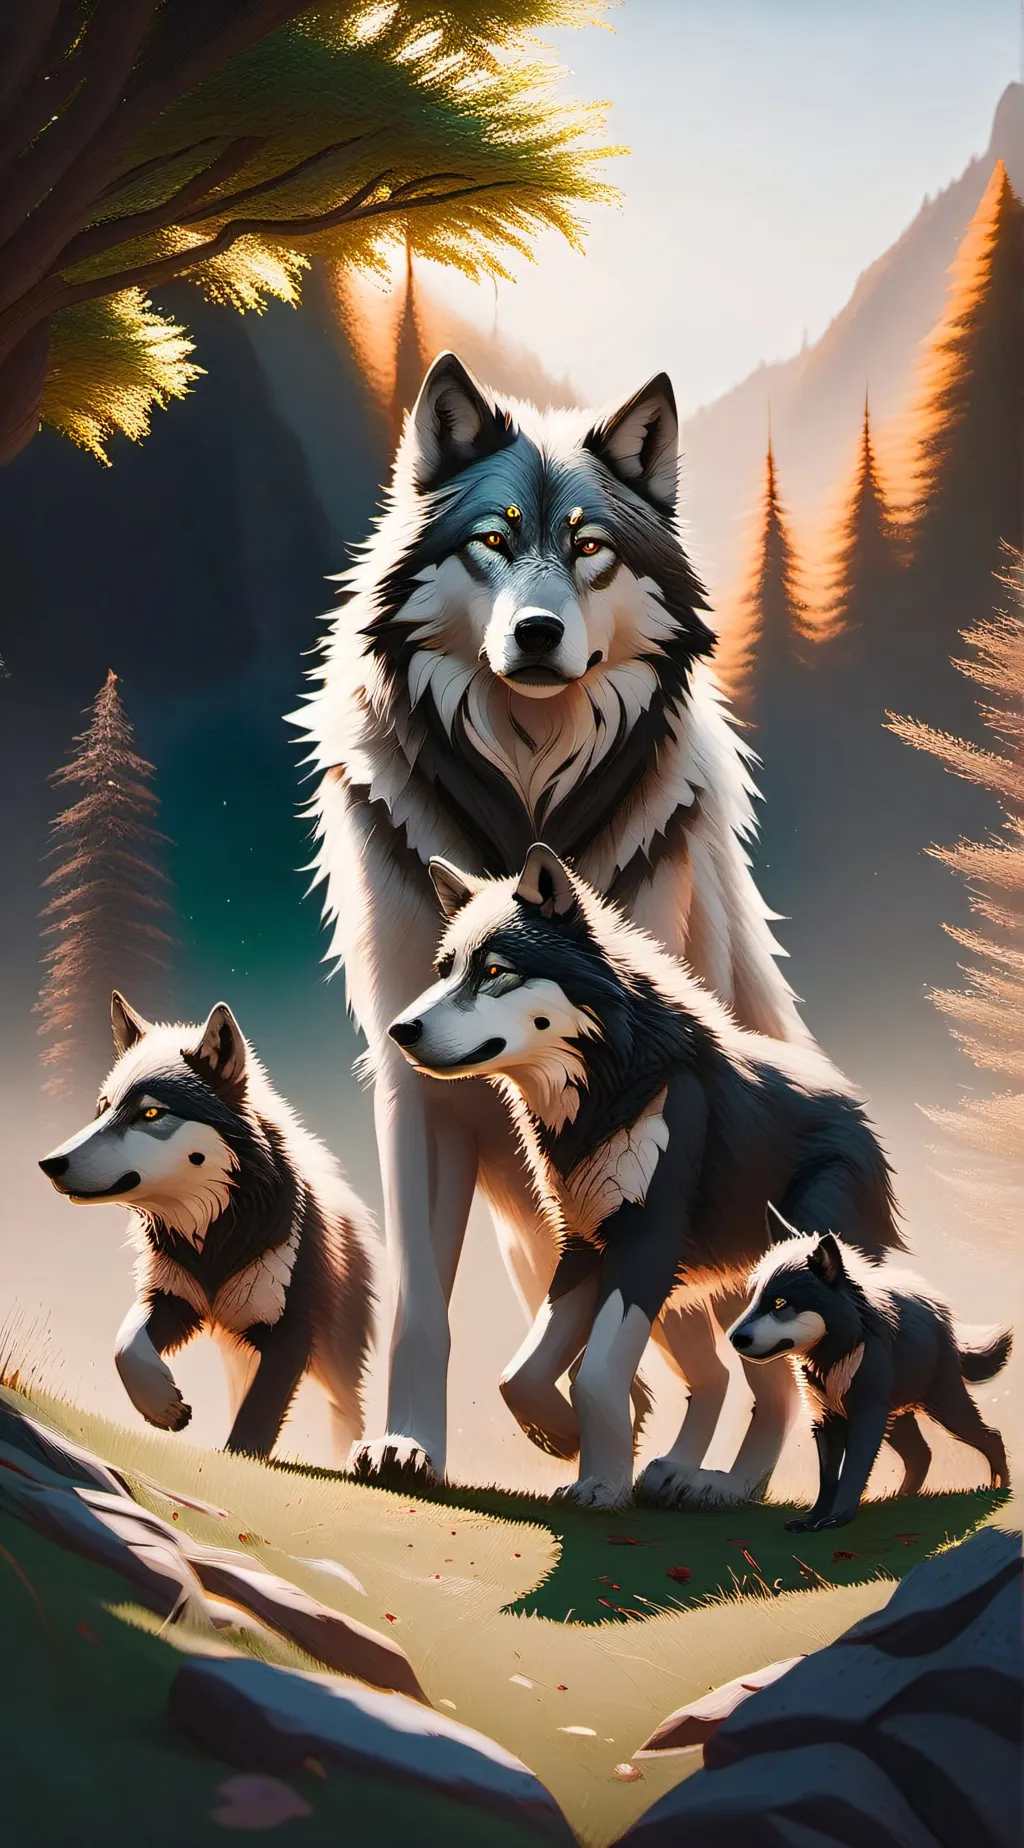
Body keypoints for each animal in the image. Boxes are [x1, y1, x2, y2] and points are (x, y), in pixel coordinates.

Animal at [39, 992, 375, 1460]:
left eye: (150, 1112)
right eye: (101, 1110)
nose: (49, 1163)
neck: (216, 1236)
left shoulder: (290, 1335)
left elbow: (255, 1423)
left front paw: (237, 1460)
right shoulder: (173, 1299)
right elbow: (125, 1346)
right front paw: (163, 1407)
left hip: (335, 1363)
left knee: (349, 1412)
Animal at [294, 350, 810, 1493]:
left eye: (589, 549)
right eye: (493, 540)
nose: (537, 633)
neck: (528, 794)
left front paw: (585, 1437)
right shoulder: (416, 1088)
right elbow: (428, 1307)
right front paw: (409, 1442)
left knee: (757, 1361)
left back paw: (723, 1479)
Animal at [387, 842, 904, 1508]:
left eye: (496, 971)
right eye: (445, 970)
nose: (400, 1030)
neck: (607, 1090)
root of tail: (858, 1110)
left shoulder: (645, 1244)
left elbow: (597, 1375)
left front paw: (601, 1486)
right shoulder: (585, 1245)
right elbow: (519, 1375)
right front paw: (565, 1439)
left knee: (783, 1390)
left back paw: (726, 1488)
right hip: (726, 1300)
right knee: (726, 1380)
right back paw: (688, 1475)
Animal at [729, 1210, 1012, 1528]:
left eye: (779, 1302)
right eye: (754, 1300)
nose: (733, 1338)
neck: (833, 1357)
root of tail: (940, 1312)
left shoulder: (865, 1416)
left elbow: (853, 1471)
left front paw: (837, 1518)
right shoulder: (826, 1421)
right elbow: (827, 1479)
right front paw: (813, 1519)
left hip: (944, 1406)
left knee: (990, 1435)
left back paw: (1000, 1486)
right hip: (898, 1418)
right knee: (921, 1454)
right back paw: (900, 1498)